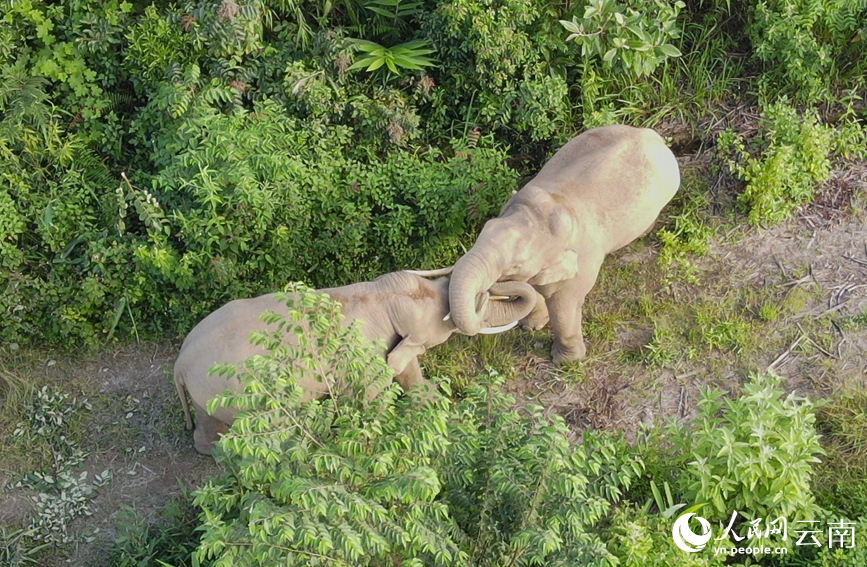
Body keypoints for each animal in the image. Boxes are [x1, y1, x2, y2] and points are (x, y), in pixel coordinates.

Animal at [173, 270, 536, 458]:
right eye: (449, 325)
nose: (490, 287)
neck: (384, 297)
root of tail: (179, 362)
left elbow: (408, 373)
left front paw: (436, 402)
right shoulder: (363, 356)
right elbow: (373, 399)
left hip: (206, 393)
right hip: (233, 391)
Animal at [440, 124, 680, 364]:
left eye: (515, 266)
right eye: (484, 230)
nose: (486, 291)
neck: (552, 206)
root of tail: (651, 134)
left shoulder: (582, 264)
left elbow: (564, 303)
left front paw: (565, 362)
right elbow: (533, 286)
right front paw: (531, 327)